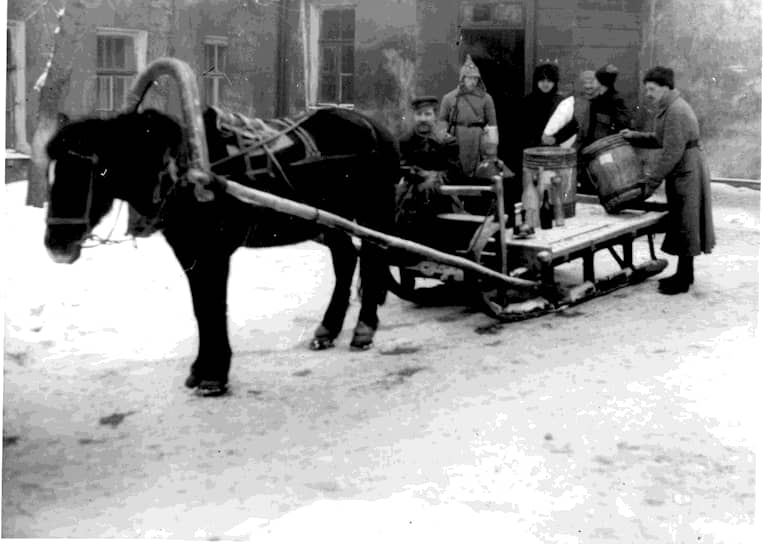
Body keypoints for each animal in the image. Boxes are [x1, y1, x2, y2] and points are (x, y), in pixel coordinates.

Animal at [42, 105, 400, 396]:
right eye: (52, 173)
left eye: (97, 171)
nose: (56, 245)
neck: (183, 168)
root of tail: (375, 125)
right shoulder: (189, 252)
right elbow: (202, 308)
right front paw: (200, 370)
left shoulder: (214, 253)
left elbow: (214, 307)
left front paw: (214, 375)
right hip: (330, 222)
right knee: (347, 261)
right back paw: (327, 329)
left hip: (374, 214)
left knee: (373, 261)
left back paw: (364, 329)